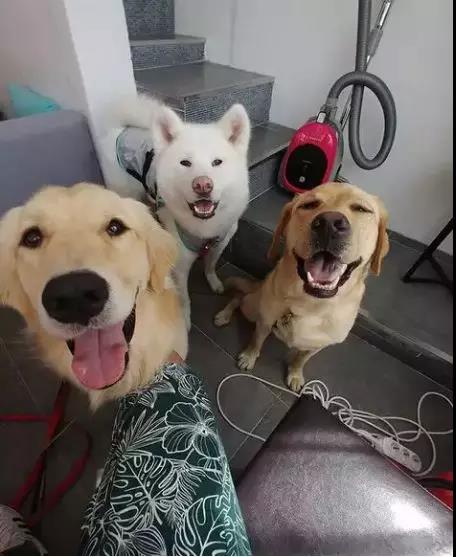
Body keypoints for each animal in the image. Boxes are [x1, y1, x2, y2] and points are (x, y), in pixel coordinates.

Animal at [100, 96, 251, 328]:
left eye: (217, 162)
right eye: (185, 163)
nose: (203, 184)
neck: (204, 227)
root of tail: (124, 128)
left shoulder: (220, 243)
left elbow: (210, 265)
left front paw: (214, 281)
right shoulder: (180, 267)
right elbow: (184, 298)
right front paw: (185, 320)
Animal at [215, 182, 389, 392]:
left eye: (362, 209)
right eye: (309, 205)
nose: (329, 223)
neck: (311, 304)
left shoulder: (316, 346)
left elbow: (300, 359)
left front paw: (296, 374)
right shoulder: (265, 321)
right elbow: (256, 341)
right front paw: (249, 356)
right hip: (252, 308)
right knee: (239, 298)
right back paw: (224, 315)